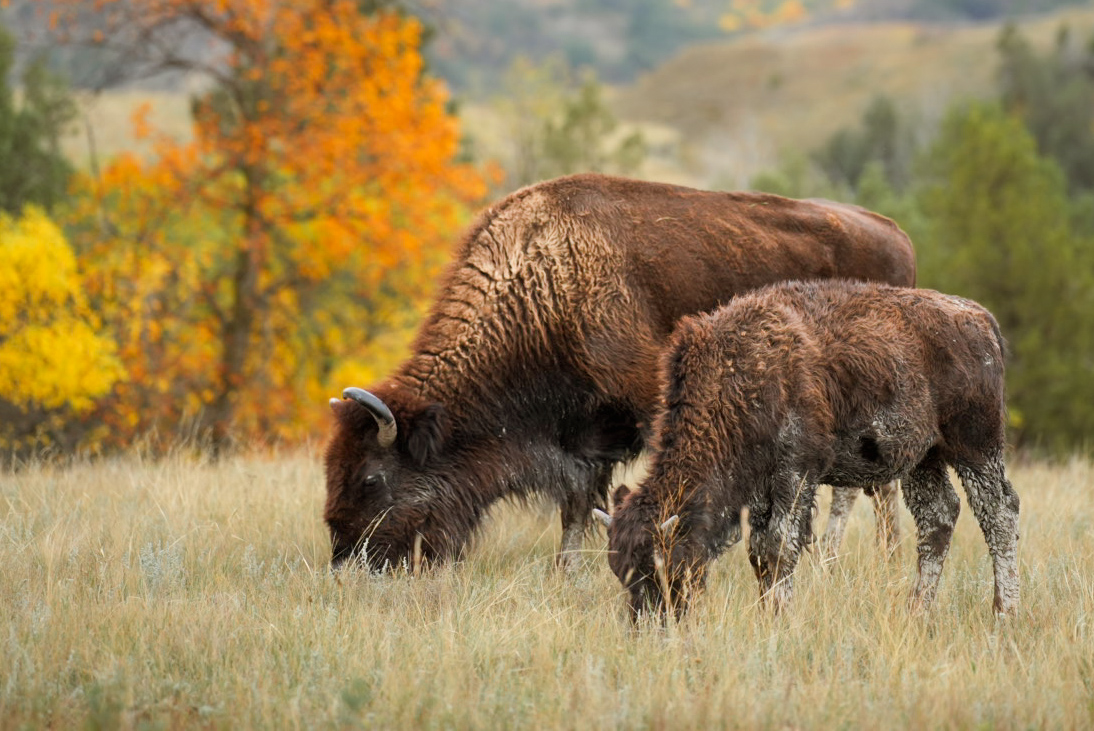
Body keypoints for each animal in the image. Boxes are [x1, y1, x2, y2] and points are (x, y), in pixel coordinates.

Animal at [324, 174, 916, 574]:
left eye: (372, 478)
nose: (347, 557)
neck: (545, 281)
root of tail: (896, 234)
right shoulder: (584, 438)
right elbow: (577, 507)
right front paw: (568, 572)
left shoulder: (650, 403)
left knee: (877, 487)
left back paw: (873, 558)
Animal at [600, 280, 1019, 621]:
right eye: (618, 570)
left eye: (660, 563)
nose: (648, 621)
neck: (740, 376)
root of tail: (981, 320)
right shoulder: (761, 486)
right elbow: (759, 552)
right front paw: (768, 611)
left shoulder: (795, 472)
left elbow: (780, 547)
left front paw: (778, 616)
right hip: (923, 458)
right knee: (938, 518)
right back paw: (917, 611)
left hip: (976, 446)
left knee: (999, 513)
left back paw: (1004, 613)